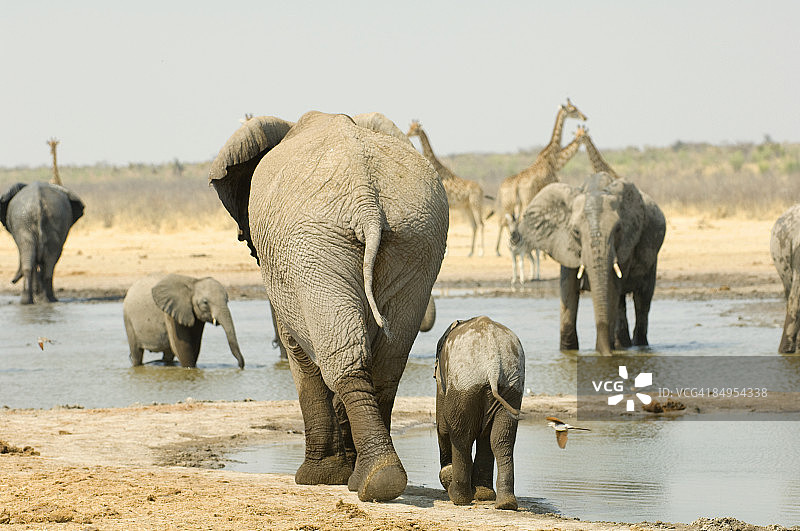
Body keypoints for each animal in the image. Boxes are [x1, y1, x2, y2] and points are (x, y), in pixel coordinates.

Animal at [208, 111, 448, 502]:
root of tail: (367, 202)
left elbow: (298, 353)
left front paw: (316, 477)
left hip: (314, 244)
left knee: (344, 357)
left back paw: (365, 481)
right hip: (416, 240)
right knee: (386, 361)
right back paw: (375, 479)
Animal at [434, 316, 524, 510]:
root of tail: (493, 363)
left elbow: (443, 426)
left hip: (463, 385)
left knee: (461, 435)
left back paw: (459, 497)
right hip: (511, 386)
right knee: (501, 439)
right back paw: (502, 502)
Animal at [511, 172, 665, 355]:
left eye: (618, 229)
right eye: (576, 232)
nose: (606, 353)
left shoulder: (624, 243)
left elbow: (611, 289)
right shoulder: (565, 245)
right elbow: (568, 290)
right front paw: (568, 352)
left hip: (652, 257)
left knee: (642, 299)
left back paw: (637, 346)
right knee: (622, 303)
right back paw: (622, 345)